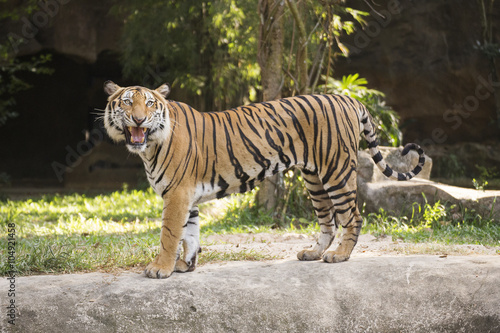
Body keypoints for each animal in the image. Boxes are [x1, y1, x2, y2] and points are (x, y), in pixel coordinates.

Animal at [102, 80, 426, 278]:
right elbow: (190, 235)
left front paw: (161, 268)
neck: (149, 147)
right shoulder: (187, 197)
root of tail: (348, 98)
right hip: (314, 178)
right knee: (328, 220)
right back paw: (313, 253)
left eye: (149, 104)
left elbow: (170, 234)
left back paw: (340, 256)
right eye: (127, 103)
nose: (139, 119)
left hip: (336, 171)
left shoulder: (177, 194)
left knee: (352, 216)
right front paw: (186, 265)